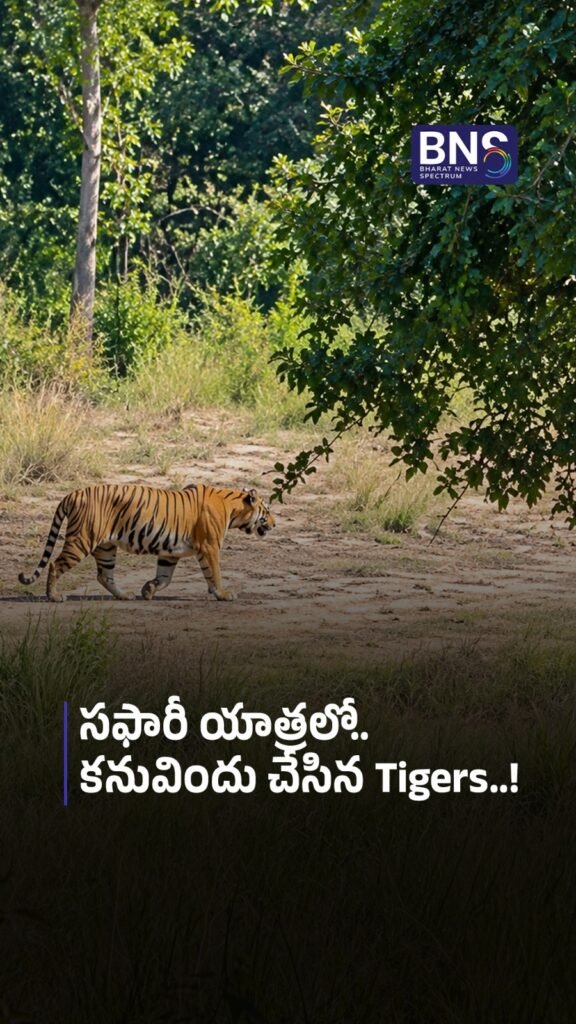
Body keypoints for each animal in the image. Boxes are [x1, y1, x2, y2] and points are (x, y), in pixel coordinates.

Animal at [18, 483, 276, 603]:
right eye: (267, 511)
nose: (274, 523)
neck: (233, 508)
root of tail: (73, 493)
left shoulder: (171, 552)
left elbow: (165, 577)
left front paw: (148, 590)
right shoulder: (210, 546)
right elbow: (215, 572)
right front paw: (223, 594)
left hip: (106, 547)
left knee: (104, 575)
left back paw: (125, 595)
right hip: (81, 541)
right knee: (55, 564)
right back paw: (54, 597)